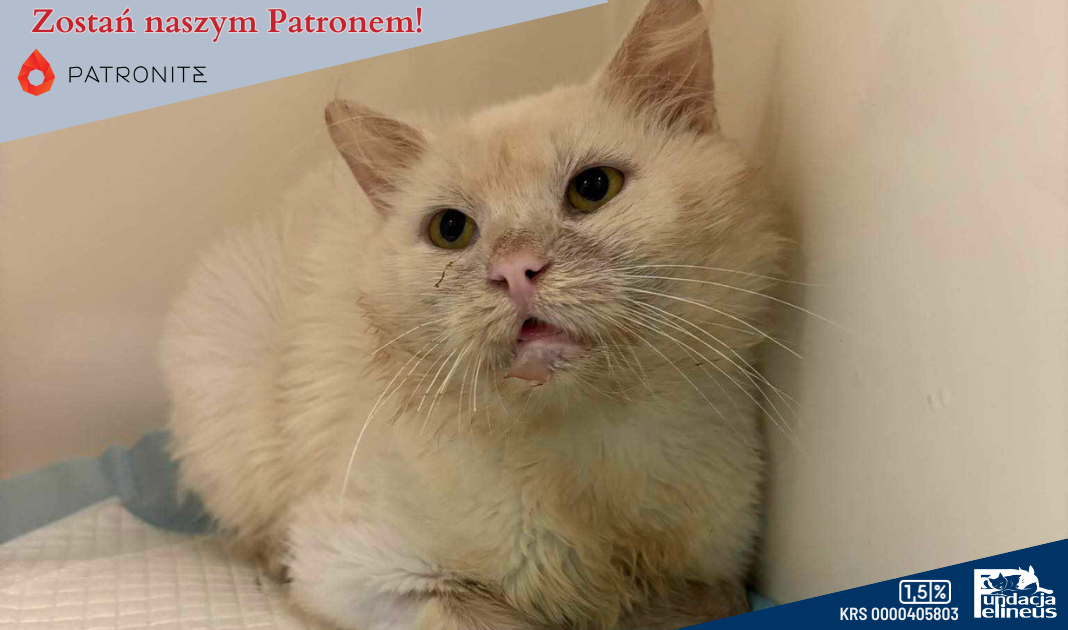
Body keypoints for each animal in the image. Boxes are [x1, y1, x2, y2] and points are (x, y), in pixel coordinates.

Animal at [160, 1, 789, 628]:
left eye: (593, 188)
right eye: (450, 230)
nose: (514, 271)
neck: (584, 452)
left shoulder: (719, 570)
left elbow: (693, 600)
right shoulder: (359, 570)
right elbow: (494, 614)